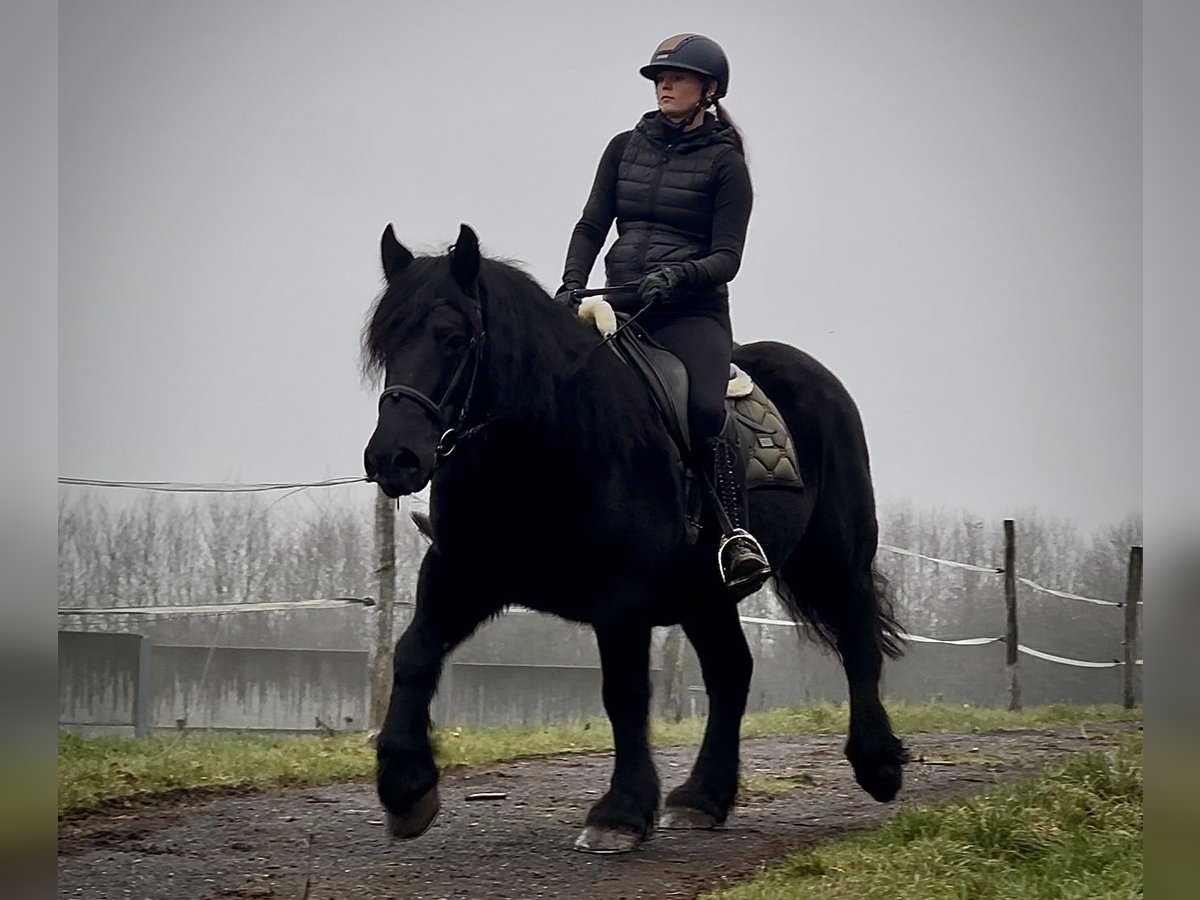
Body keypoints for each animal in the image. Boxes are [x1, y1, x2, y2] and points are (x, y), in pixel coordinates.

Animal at [361, 223, 907, 853]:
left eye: (454, 339)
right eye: (385, 342)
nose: (393, 459)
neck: (547, 445)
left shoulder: (621, 599)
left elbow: (624, 695)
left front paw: (620, 813)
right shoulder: (462, 573)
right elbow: (413, 654)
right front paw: (405, 786)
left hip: (836, 558)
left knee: (857, 641)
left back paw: (877, 764)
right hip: (705, 594)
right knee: (732, 671)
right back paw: (702, 798)